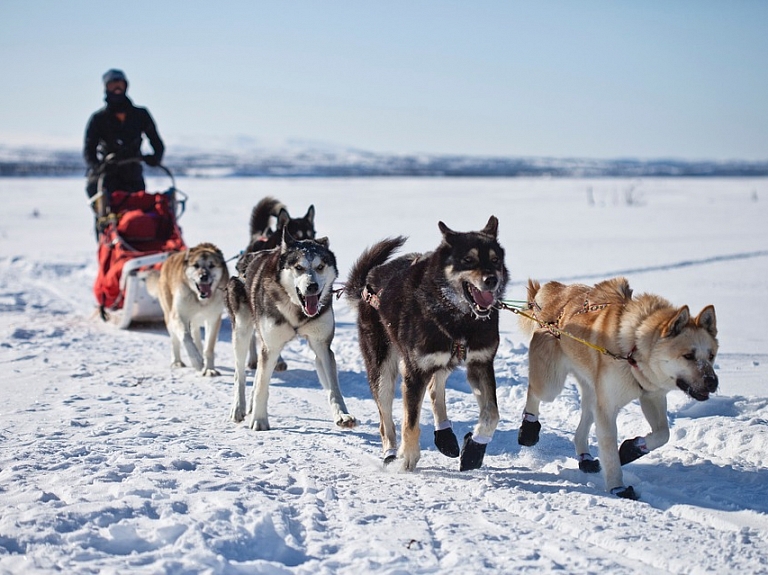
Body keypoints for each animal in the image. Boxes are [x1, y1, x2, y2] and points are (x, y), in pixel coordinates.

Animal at [148, 244, 230, 376]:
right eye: (196, 265)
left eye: (211, 265)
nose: (203, 276)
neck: (199, 300)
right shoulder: (178, 316)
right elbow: (186, 338)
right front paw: (197, 361)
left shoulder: (213, 319)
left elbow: (208, 347)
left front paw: (209, 369)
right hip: (169, 316)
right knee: (175, 340)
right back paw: (177, 361)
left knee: (196, 334)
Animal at [225, 230, 356, 432]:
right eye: (299, 267)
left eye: (320, 266)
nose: (312, 286)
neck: (297, 309)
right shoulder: (271, 347)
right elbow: (262, 385)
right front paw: (260, 420)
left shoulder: (322, 346)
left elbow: (333, 388)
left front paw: (342, 415)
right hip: (241, 331)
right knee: (240, 374)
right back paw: (238, 408)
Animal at [344, 216, 508, 472]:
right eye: (468, 260)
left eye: (495, 260)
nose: (492, 280)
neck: (459, 319)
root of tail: (369, 281)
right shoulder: (415, 372)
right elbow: (410, 422)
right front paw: (408, 457)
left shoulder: (480, 363)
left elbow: (492, 414)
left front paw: (474, 448)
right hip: (382, 370)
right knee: (386, 419)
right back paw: (391, 453)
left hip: (443, 360)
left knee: (434, 388)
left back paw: (445, 436)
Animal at [520, 278, 716, 500]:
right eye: (688, 356)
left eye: (711, 356)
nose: (713, 382)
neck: (633, 350)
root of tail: (554, 289)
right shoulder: (607, 409)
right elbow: (610, 453)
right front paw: (617, 487)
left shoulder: (651, 397)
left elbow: (663, 434)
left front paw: (631, 449)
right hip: (551, 385)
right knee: (534, 392)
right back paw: (528, 429)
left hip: (592, 393)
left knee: (582, 427)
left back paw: (585, 458)